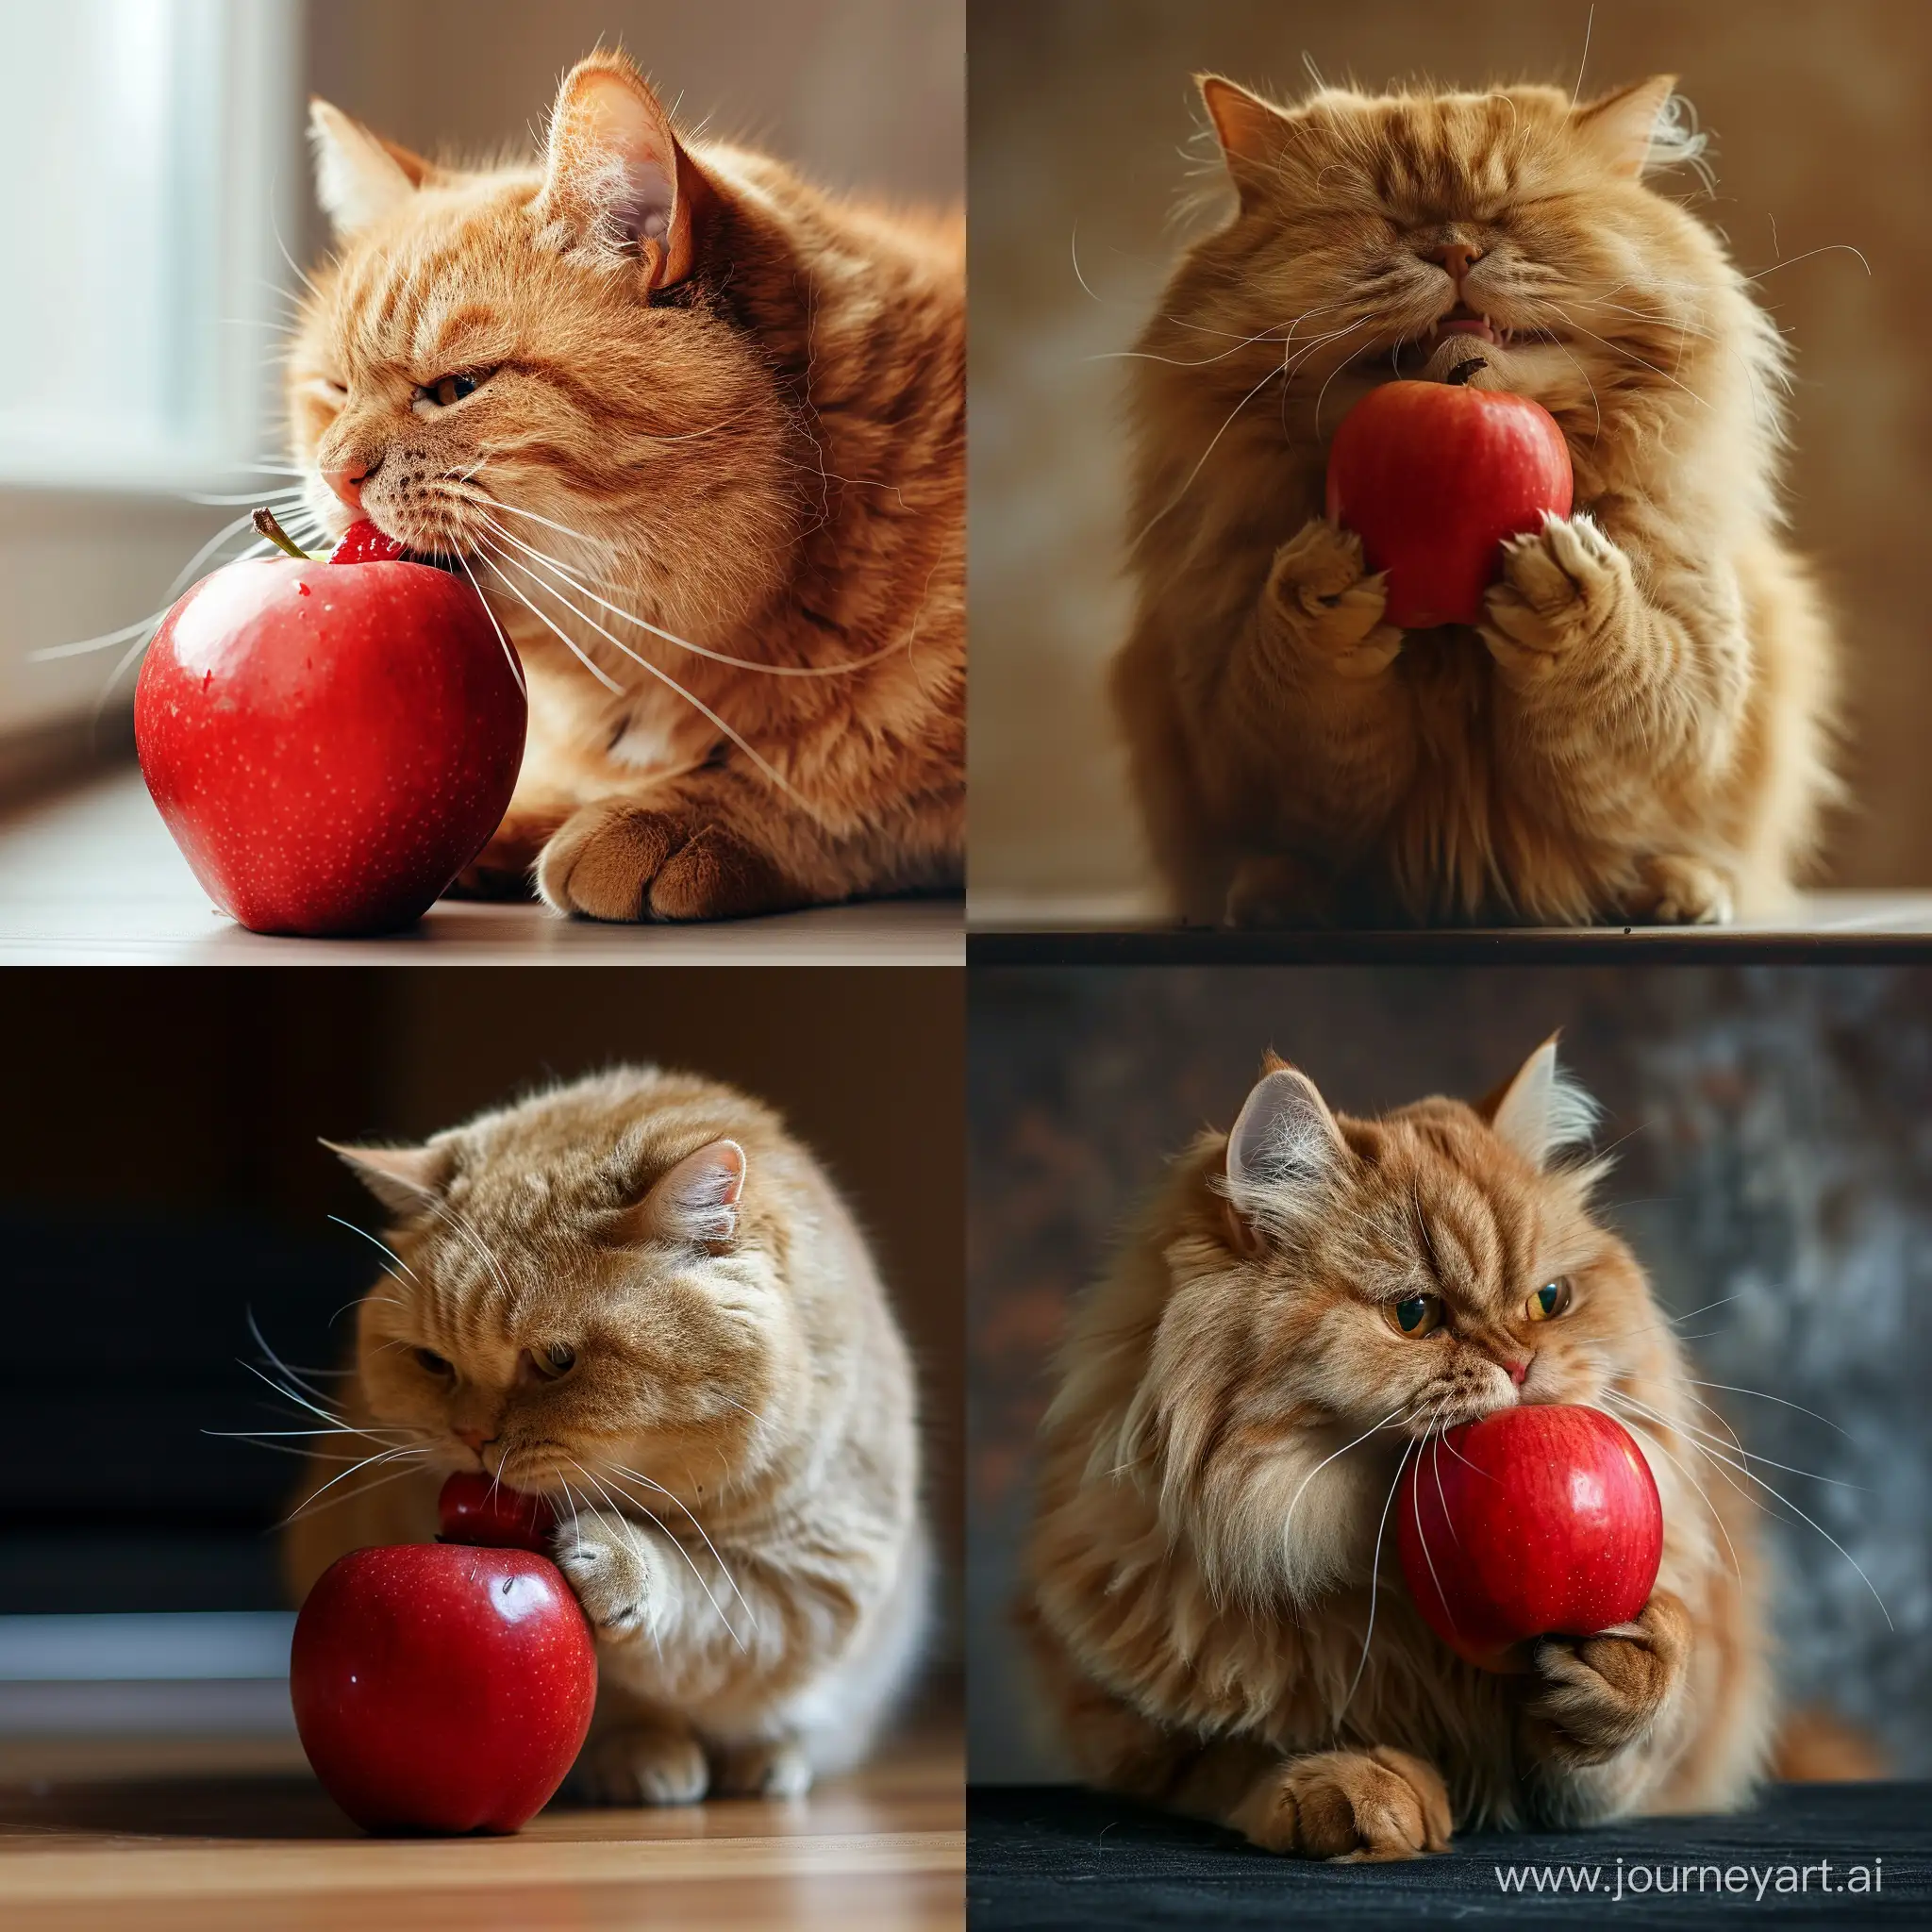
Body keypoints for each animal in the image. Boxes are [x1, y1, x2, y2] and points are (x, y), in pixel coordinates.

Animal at [1027, 1042, 1777, 1855]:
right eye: (1414, 1315)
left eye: (1548, 1302)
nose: (1520, 1365)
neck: (1391, 1585)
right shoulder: (1136, 1734)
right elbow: (1238, 1752)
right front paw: (1358, 1785)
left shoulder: (1615, 1777)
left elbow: (1616, 1740)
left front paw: (1628, 1663)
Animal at [1112, 78, 1831, 939]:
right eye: (1380, 217)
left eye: (1514, 211)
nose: (1455, 251)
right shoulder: (1238, 735)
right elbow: (1298, 700)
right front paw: (1320, 595)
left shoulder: (1690, 699)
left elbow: (1628, 673)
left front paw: (1566, 596)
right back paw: (1274, 901)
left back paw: (1683, 892)